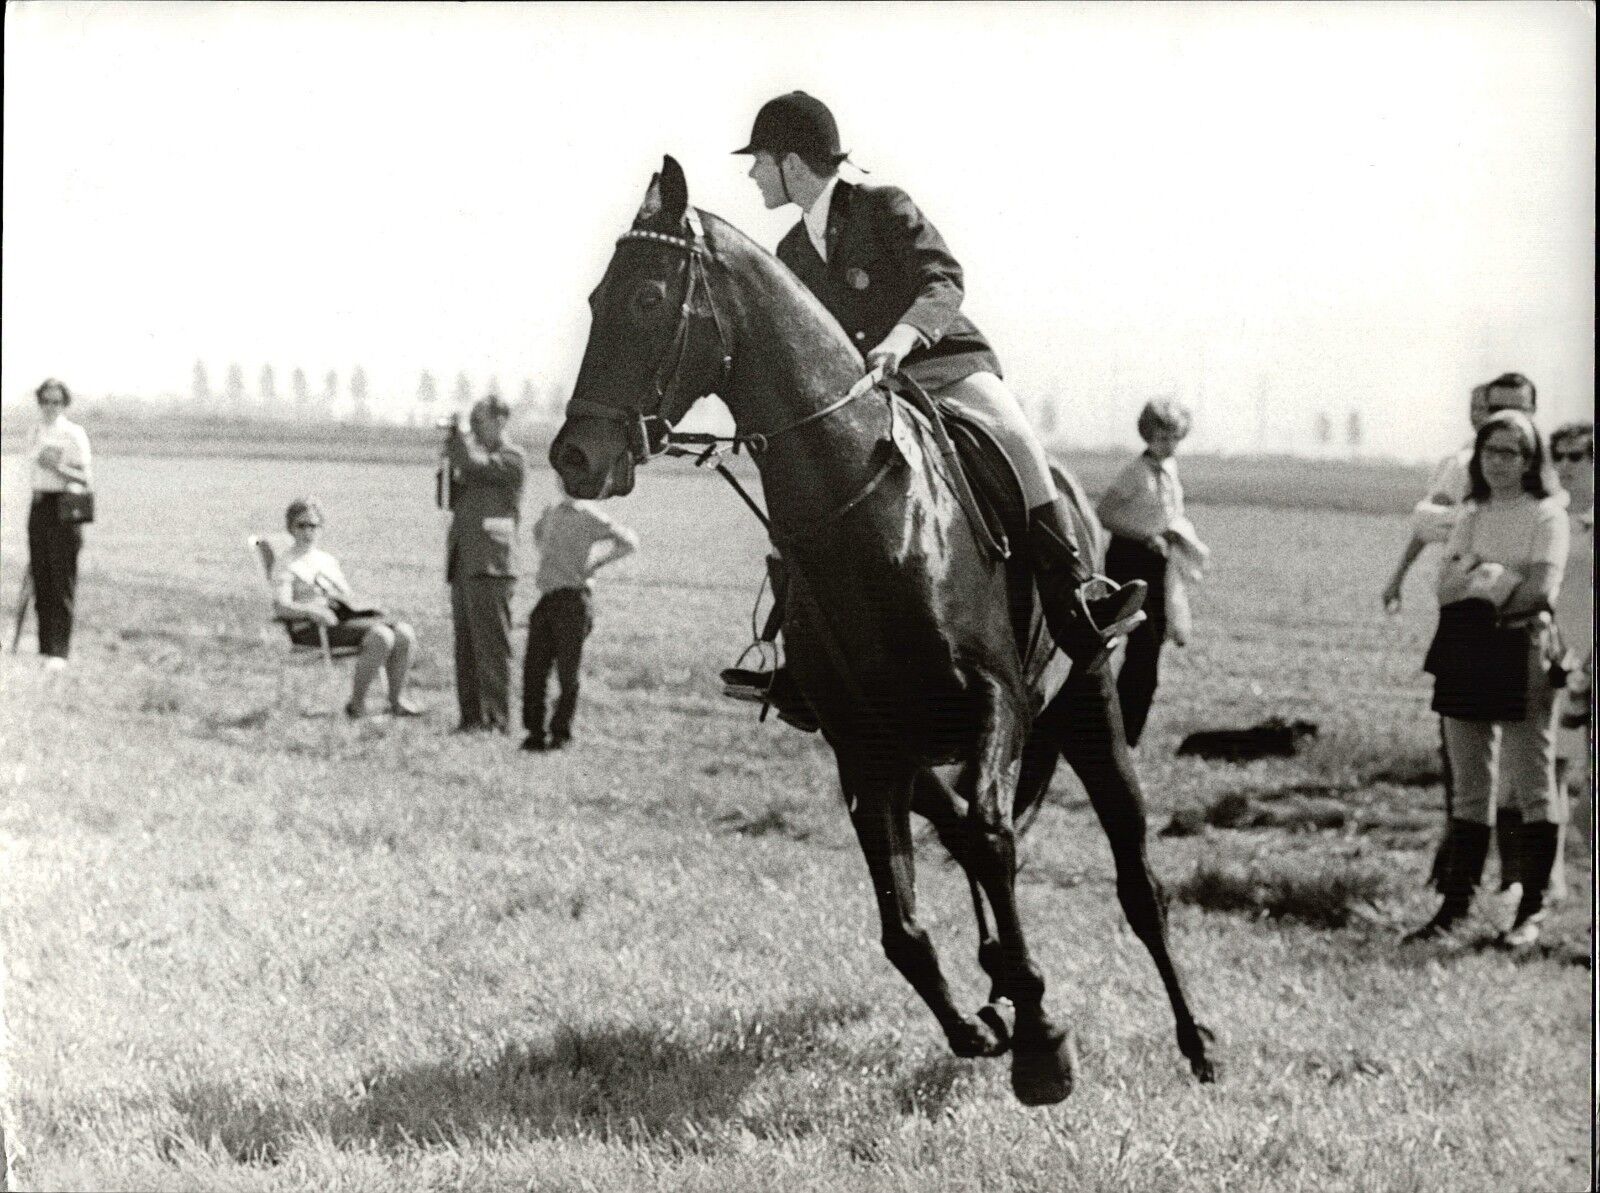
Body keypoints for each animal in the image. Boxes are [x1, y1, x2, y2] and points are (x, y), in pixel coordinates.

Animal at [550, 153, 1209, 1100]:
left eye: (643, 299)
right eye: (597, 296)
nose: (576, 457)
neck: (871, 513)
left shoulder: (998, 702)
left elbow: (992, 838)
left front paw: (1042, 1039)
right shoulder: (864, 747)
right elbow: (905, 923)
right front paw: (982, 1022)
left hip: (1085, 703)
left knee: (1133, 879)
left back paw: (1195, 1039)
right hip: (920, 751)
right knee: (963, 833)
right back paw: (998, 983)